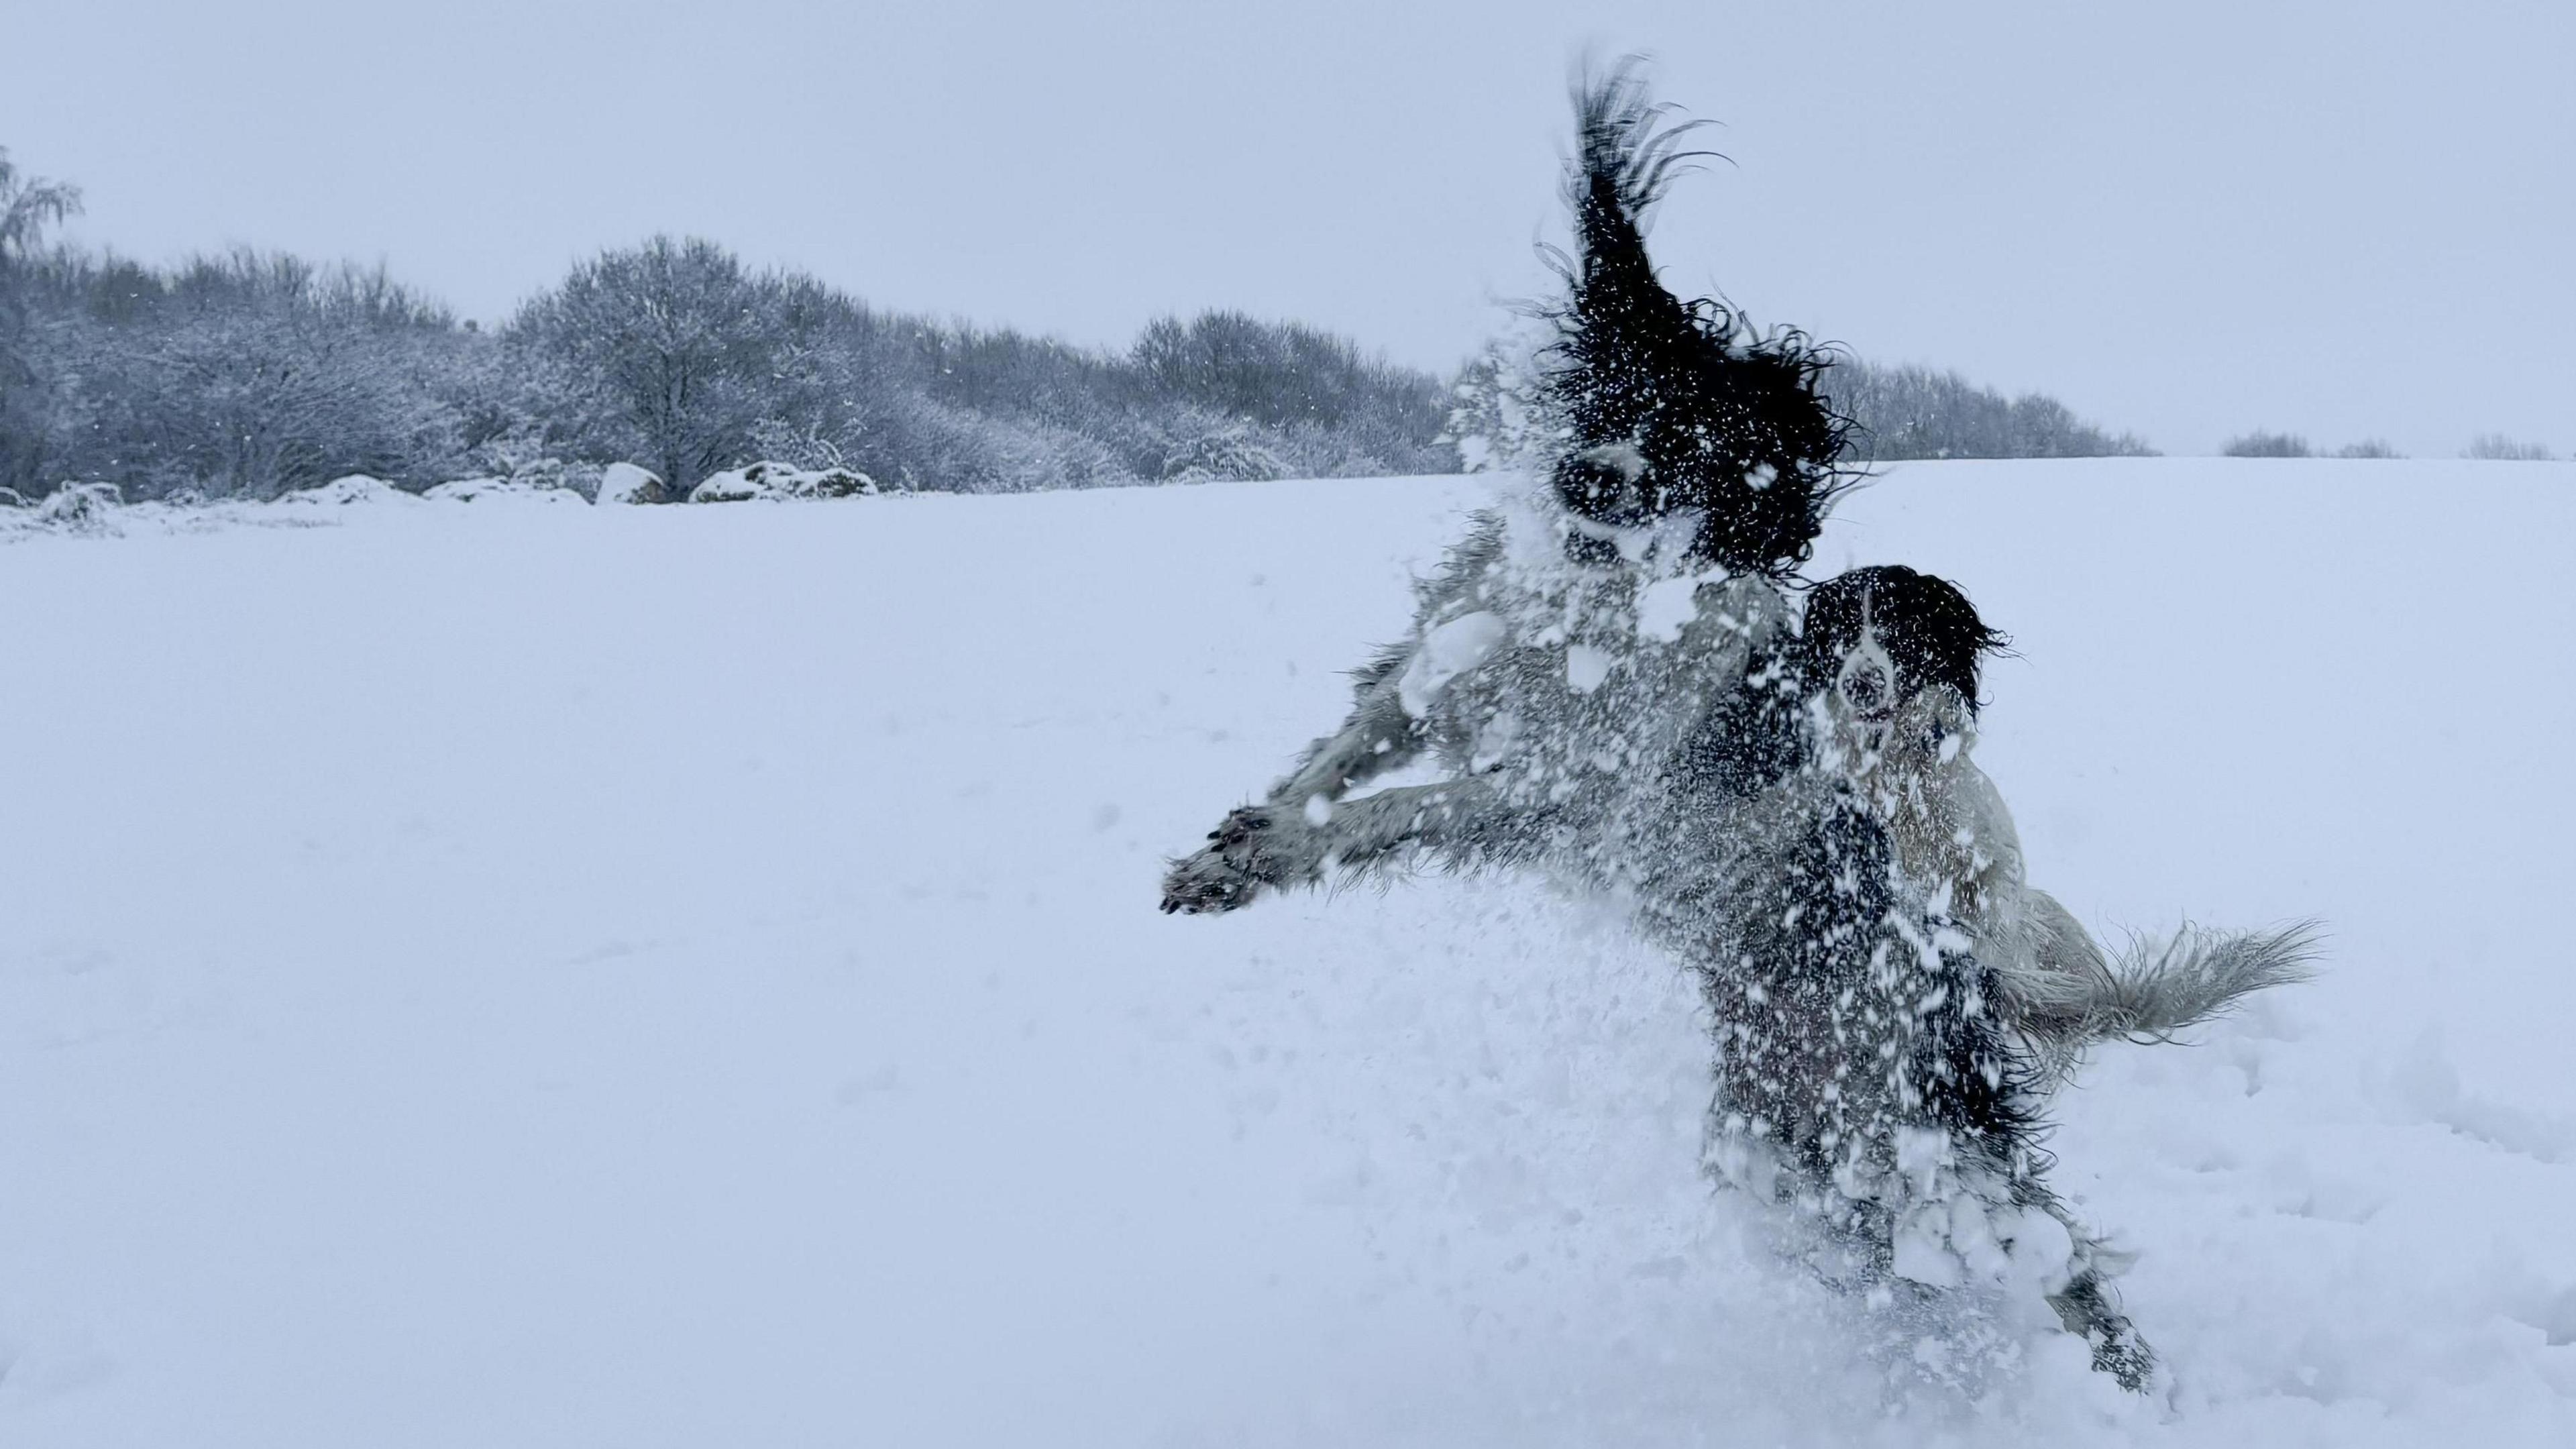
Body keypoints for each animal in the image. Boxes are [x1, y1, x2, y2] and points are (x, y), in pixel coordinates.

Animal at [1169, 67, 2318, 1392]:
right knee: (1894, 1259)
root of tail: (1977, 978)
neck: (1605, 594)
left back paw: (2134, 1389)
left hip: (1930, 1143)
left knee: (2063, 1264)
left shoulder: (1564, 790)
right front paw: (1233, 855)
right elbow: (1340, 765)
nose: (1591, 483)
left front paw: (1273, 847)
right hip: (1792, 1152)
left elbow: (1398, 809)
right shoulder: (1430, 668)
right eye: (1632, 395)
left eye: (1712, 445)